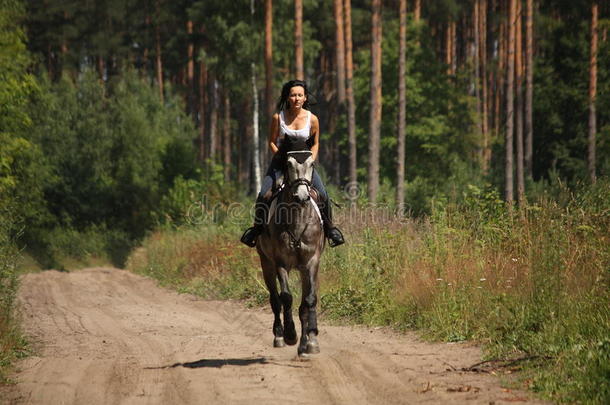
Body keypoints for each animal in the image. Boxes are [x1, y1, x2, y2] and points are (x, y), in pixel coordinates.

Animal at [255, 148, 326, 354]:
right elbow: (286, 297)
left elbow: (309, 301)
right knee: (274, 299)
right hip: (266, 264)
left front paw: (309, 342)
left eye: (312, 164)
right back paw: (279, 335)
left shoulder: (311, 262)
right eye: (288, 164)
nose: (302, 196)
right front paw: (290, 335)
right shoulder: (280, 263)